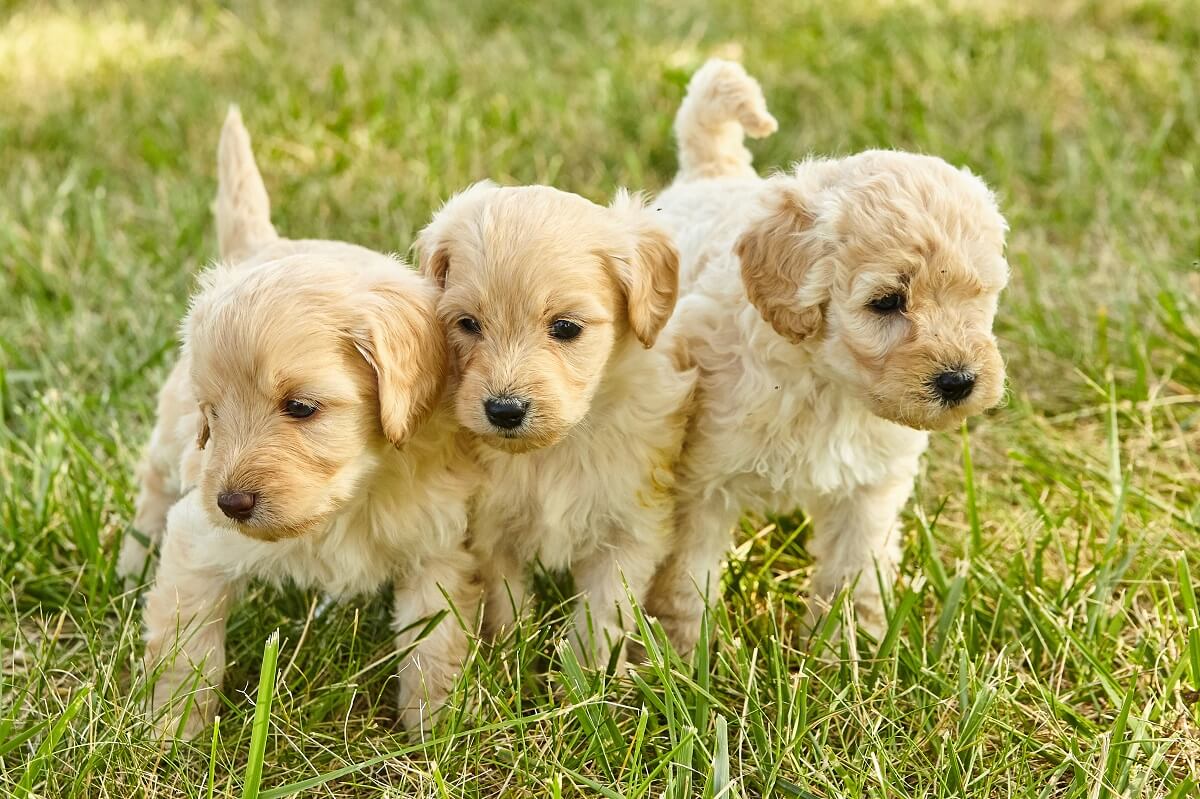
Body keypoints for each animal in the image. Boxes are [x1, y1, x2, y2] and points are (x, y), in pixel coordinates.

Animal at [120, 109, 477, 739]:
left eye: (301, 408)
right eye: (213, 414)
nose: (231, 503)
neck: (352, 499)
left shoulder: (437, 548)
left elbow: (434, 651)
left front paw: (433, 733)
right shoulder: (199, 540)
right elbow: (186, 652)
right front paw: (170, 735)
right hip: (169, 441)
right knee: (154, 487)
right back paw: (131, 562)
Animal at [417, 183, 696, 662]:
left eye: (566, 327)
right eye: (468, 324)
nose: (504, 410)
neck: (554, 449)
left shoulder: (629, 531)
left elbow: (604, 616)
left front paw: (595, 675)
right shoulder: (491, 528)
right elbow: (505, 599)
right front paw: (508, 654)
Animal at [643, 59, 1008, 652]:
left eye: (980, 295)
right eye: (887, 302)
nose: (960, 381)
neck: (825, 385)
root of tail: (712, 173)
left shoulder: (869, 489)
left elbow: (854, 573)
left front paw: (849, 651)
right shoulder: (698, 486)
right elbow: (684, 580)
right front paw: (681, 654)